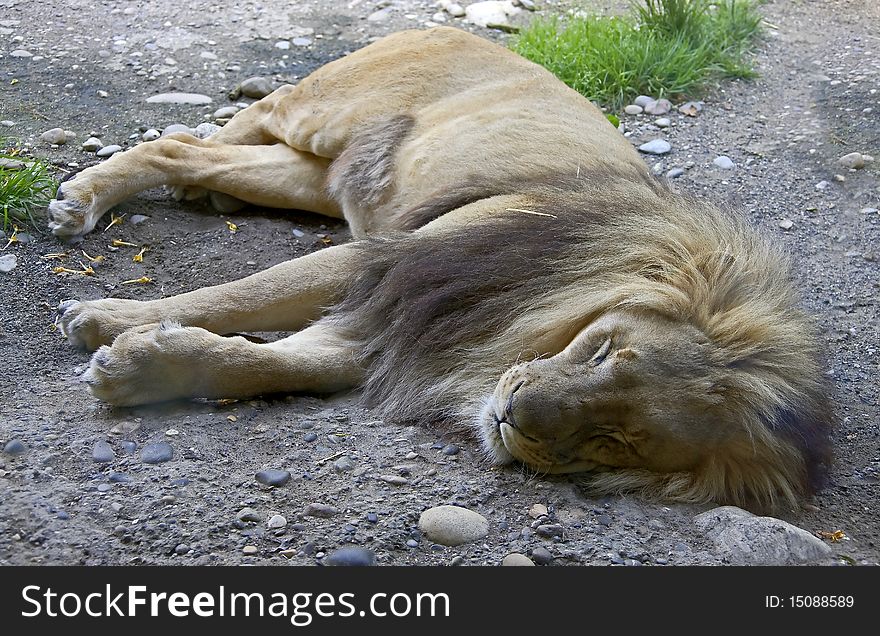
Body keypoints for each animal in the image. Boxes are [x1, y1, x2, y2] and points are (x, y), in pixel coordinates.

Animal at [48, 27, 832, 512]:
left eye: (619, 439)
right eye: (604, 351)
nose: (514, 415)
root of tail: (449, 28)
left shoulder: (395, 327)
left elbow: (268, 362)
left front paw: (142, 367)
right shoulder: (394, 263)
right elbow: (244, 295)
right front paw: (108, 321)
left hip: (320, 176)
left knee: (190, 150)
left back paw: (192, 194)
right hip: (319, 117)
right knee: (193, 138)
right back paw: (82, 202)